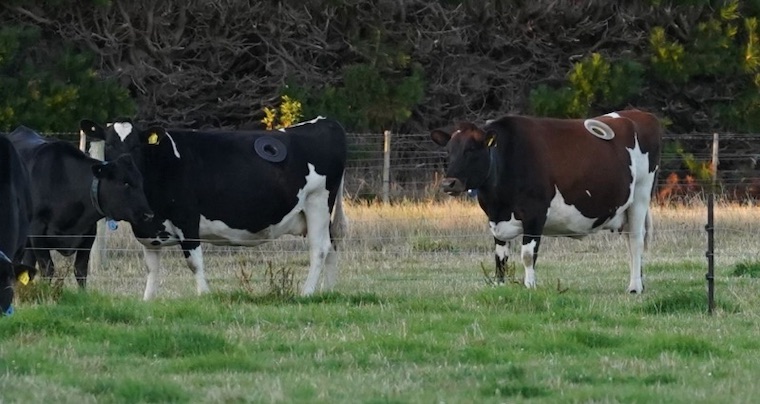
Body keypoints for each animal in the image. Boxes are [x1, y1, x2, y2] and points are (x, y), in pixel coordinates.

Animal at [7, 126, 154, 288]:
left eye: (140, 182)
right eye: (125, 183)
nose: (148, 215)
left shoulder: (88, 234)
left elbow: (81, 270)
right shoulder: (37, 233)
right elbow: (47, 269)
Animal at [79, 116, 348, 300]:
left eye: (136, 146)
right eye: (109, 145)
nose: (123, 166)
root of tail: (325, 121)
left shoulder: (188, 219)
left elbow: (194, 262)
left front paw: (204, 295)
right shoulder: (149, 230)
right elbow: (151, 268)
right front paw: (148, 300)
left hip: (317, 202)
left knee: (319, 249)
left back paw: (307, 292)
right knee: (332, 246)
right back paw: (328, 291)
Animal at [431, 109, 662, 293]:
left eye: (471, 150)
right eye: (449, 151)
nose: (449, 183)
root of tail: (638, 113)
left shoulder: (535, 214)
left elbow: (527, 254)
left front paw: (529, 286)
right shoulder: (495, 219)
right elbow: (500, 258)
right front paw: (499, 286)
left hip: (641, 195)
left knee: (636, 241)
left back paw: (634, 287)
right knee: (630, 244)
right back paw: (638, 283)